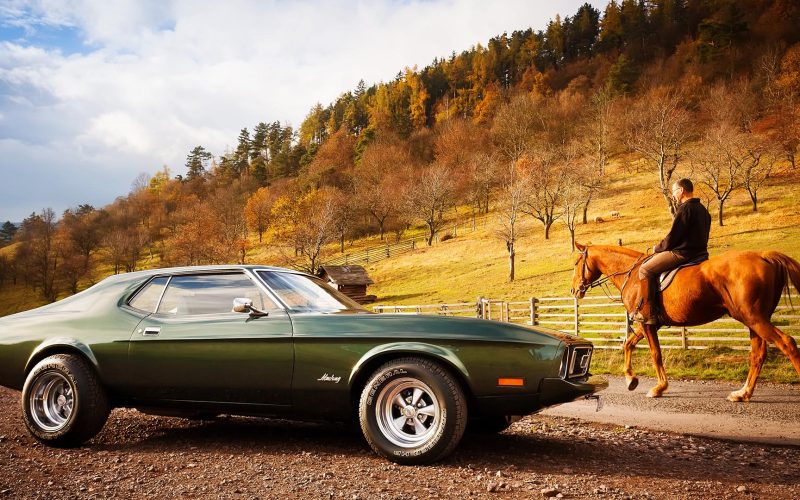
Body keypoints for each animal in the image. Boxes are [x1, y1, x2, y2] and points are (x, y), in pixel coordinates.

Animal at [568, 242, 800, 402]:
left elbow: (656, 354)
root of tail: (763, 256)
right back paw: (743, 393)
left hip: (754, 318)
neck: (632, 274)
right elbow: (628, 344)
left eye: (577, 263)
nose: (573, 289)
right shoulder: (648, 324)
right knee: (758, 355)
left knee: (787, 343)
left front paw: (659, 387)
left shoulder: (647, 323)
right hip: (754, 321)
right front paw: (630, 379)